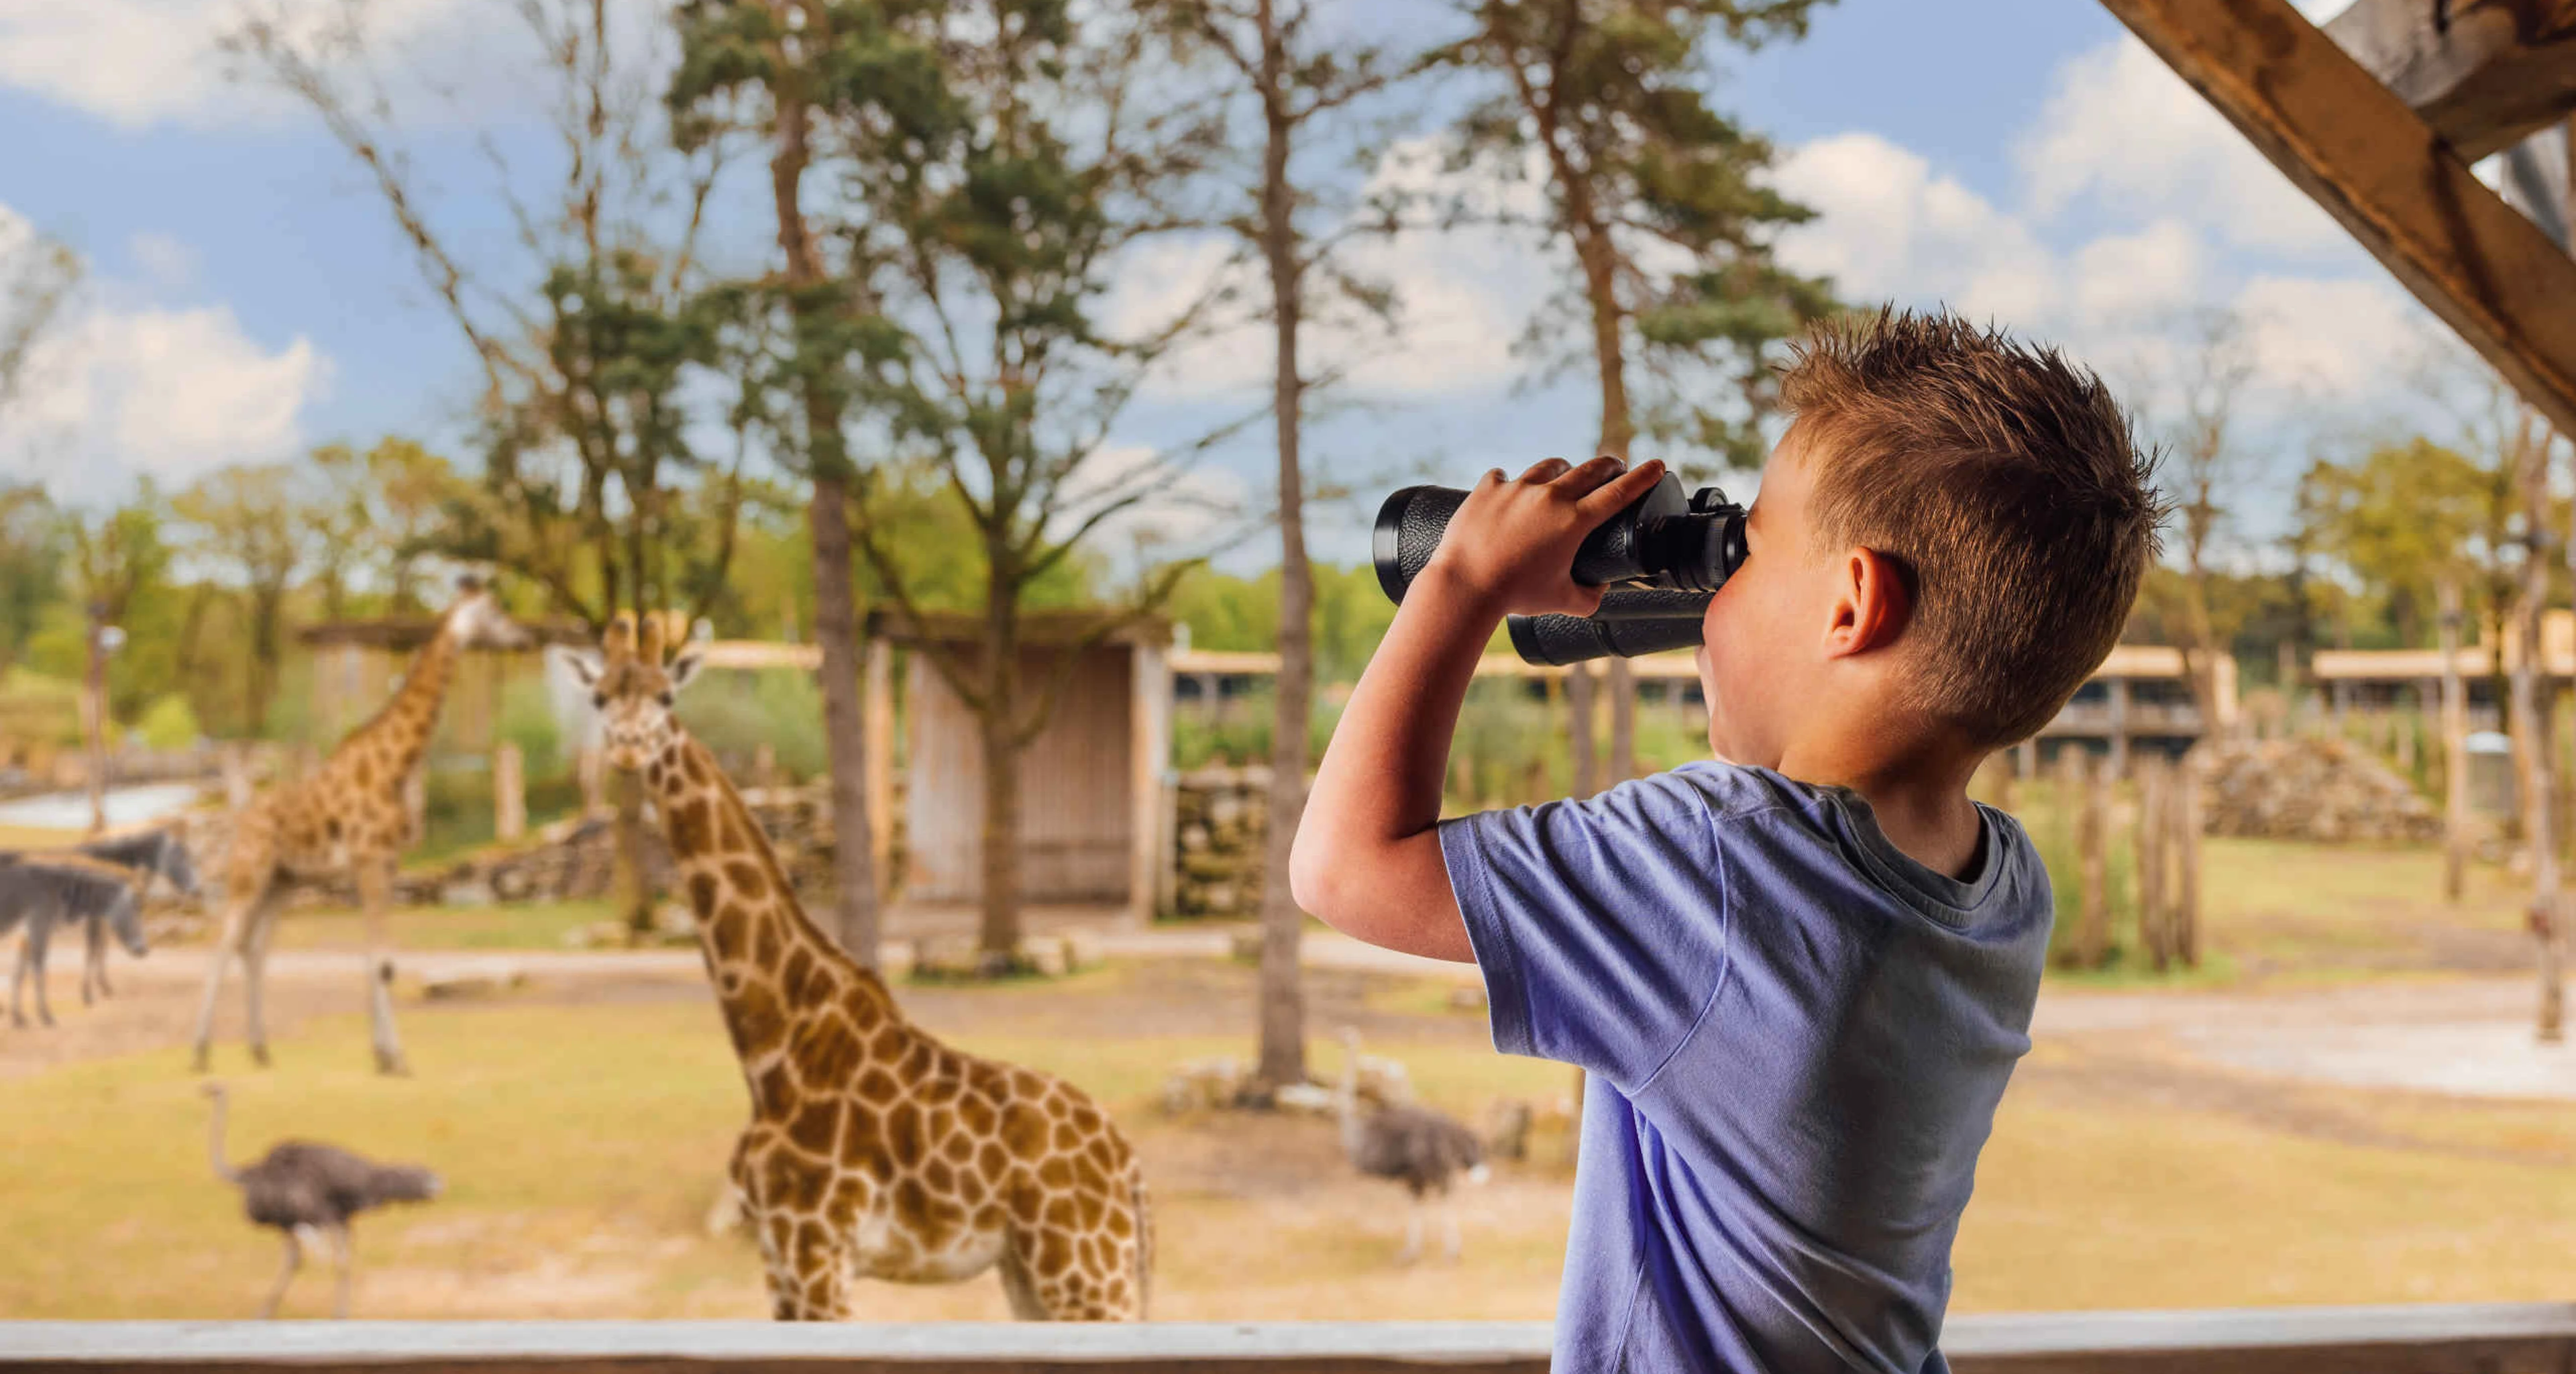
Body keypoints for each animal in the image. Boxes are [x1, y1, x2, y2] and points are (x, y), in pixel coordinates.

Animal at [189, 578, 531, 1076]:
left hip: (284, 881)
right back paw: (200, 1052)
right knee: (224, 941)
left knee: (254, 947)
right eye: (496, 611)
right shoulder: (370, 860)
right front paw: (396, 1058)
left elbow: (377, 959)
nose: (525, 636)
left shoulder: (388, 864)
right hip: (250, 872)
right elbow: (380, 959)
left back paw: (260, 1049)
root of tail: (242, 819)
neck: (395, 768)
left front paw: (382, 1055)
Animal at [565, 613, 1152, 1322]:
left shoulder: (817, 1251)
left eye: (665, 695)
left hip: (1086, 1272)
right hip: (1031, 1274)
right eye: (601, 698)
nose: (627, 750)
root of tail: (1130, 1168)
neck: (775, 1049)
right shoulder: (778, 1261)